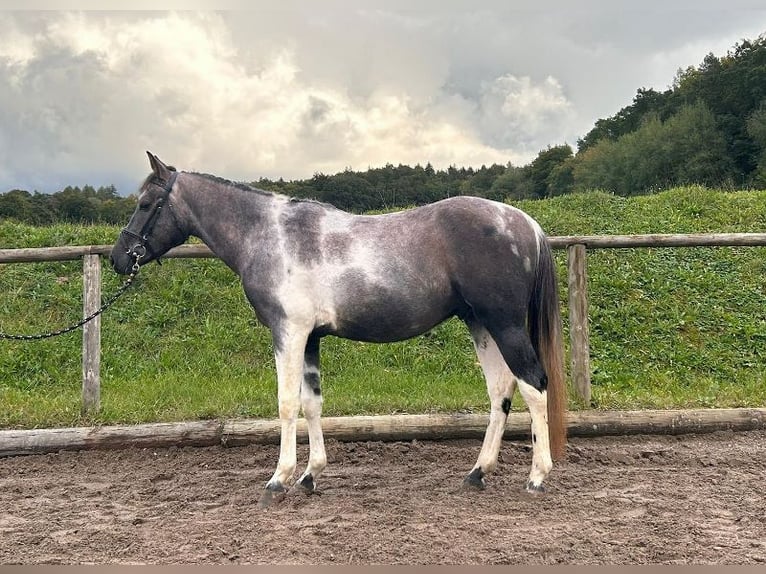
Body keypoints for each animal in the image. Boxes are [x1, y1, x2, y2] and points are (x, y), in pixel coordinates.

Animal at [109, 153, 568, 508]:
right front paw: (310, 476)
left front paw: (277, 481)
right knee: (500, 390)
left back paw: (537, 477)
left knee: (532, 385)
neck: (270, 236)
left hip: (504, 324)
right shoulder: (310, 338)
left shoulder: (289, 333)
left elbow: (286, 405)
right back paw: (478, 472)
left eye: (146, 203)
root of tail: (524, 222)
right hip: (480, 323)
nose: (119, 258)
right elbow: (312, 403)